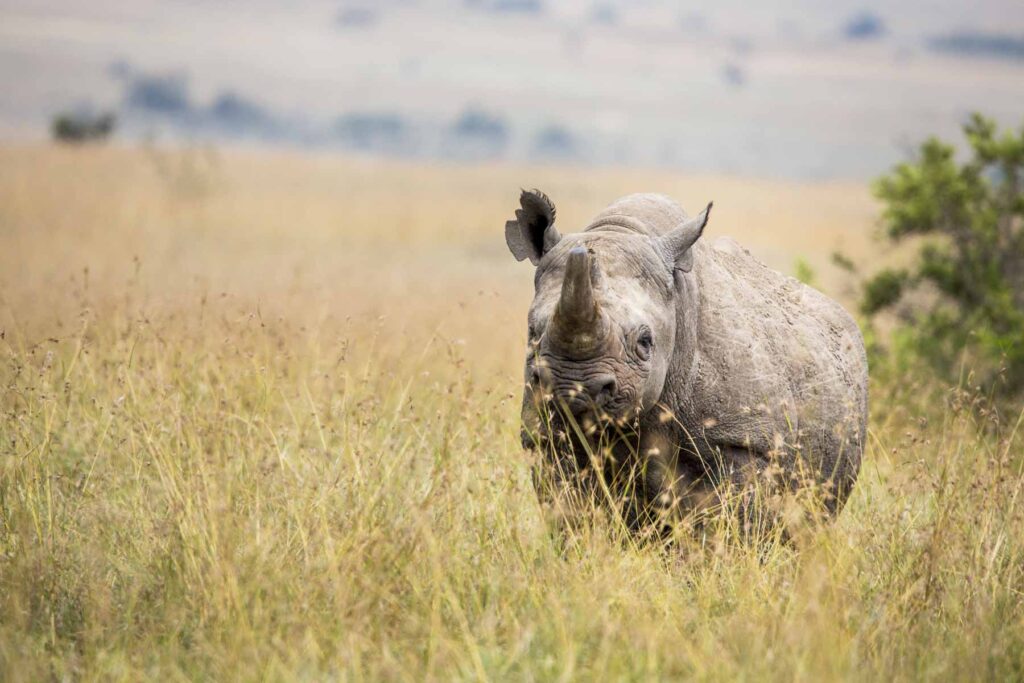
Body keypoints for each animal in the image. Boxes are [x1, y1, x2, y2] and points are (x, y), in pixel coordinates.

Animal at [507, 189, 868, 532]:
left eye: (645, 341)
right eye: (533, 331)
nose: (573, 389)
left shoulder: (745, 440)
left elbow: (732, 524)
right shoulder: (547, 436)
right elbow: (571, 512)